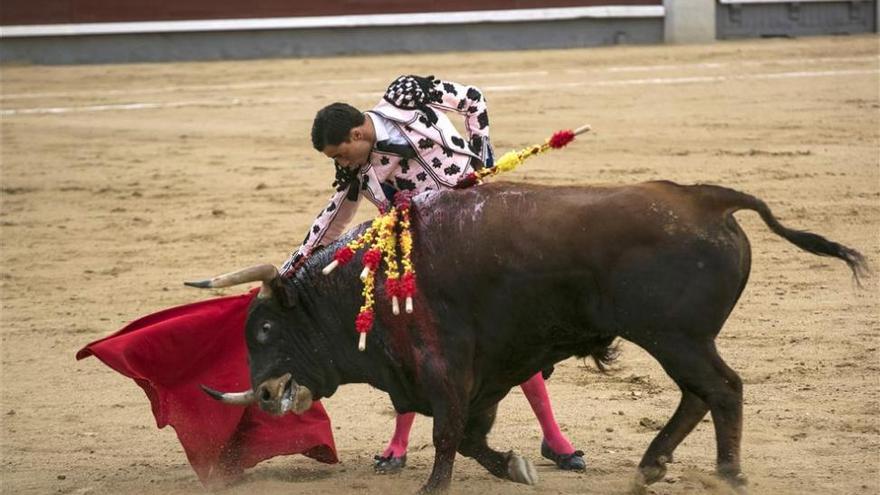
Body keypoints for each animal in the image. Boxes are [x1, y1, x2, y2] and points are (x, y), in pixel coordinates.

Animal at [189, 181, 868, 492]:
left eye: (266, 327)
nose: (266, 394)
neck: (364, 282)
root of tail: (709, 200)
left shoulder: (445, 365)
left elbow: (448, 434)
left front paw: (436, 487)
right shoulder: (487, 371)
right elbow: (470, 437)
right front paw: (515, 466)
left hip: (677, 336)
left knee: (722, 389)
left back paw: (726, 472)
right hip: (677, 340)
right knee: (698, 394)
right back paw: (652, 464)